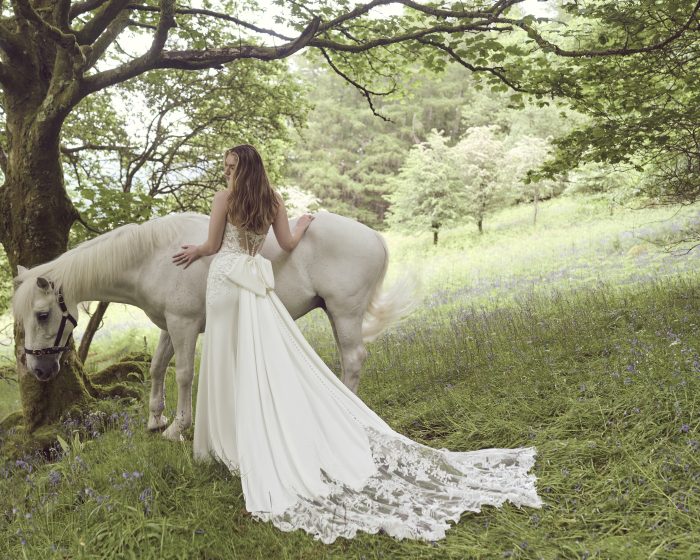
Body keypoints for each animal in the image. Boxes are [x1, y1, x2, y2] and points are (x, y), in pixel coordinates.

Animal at [13, 212, 412, 440]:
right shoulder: (168, 326)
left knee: (353, 359)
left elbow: (183, 374)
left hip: (345, 313)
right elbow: (157, 368)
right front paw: (155, 420)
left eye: (42, 315)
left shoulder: (184, 325)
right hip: (335, 313)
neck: (153, 257)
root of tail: (375, 237)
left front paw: (178, 428)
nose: (37, 369)